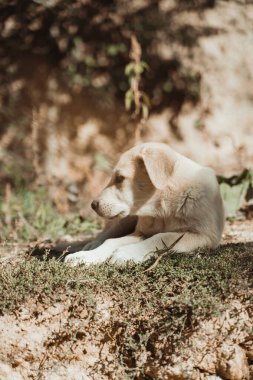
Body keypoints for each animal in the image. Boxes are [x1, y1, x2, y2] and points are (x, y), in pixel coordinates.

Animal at [64, 141, 224, 266]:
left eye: (120, 178)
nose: (93, 205)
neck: (164, 210)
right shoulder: (140, 232)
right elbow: (111, 241)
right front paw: (87, 256)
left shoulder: (203, 236)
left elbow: (162, 237)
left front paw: (125, 253)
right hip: (123, 220)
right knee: (106, 234)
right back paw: (90, 246)